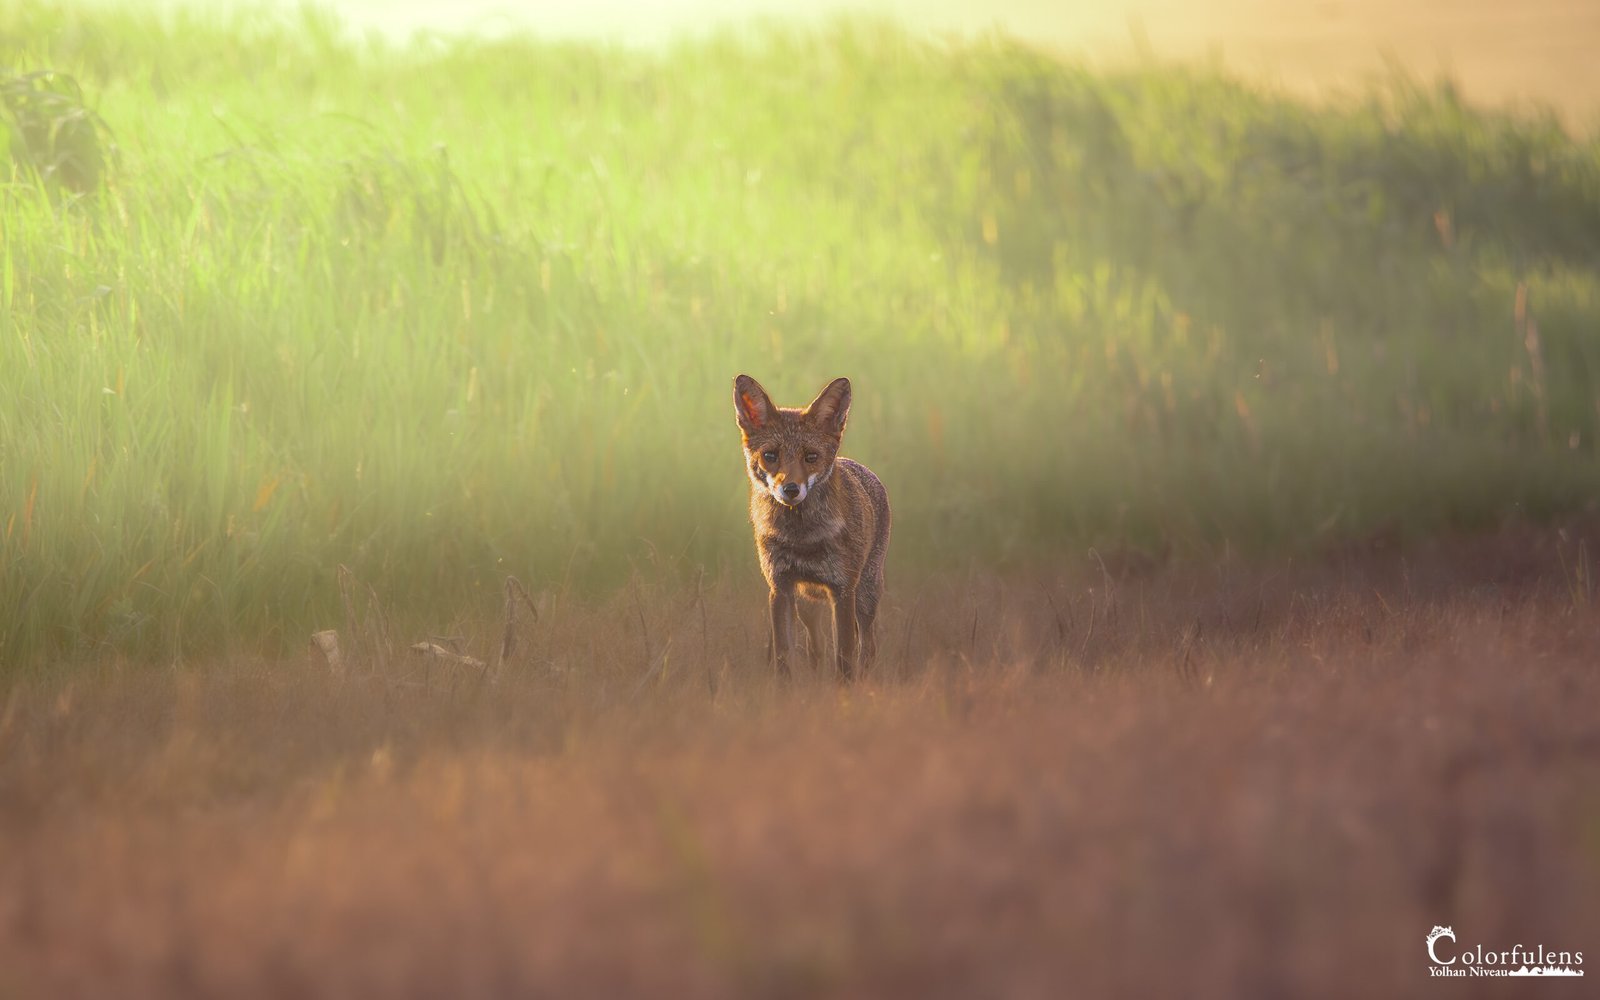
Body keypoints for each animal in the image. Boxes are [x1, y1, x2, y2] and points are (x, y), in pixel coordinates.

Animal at [733, 374, 891, 681]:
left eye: (811, 457)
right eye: (770, 456)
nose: (791, 490)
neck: (801, 537)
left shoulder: (843, 590)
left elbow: (844, 657)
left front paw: (846, 692)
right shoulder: (780, 587)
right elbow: (784, 656)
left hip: (865, 595)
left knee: (868, 646)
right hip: (808, 605)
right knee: (815, 647)